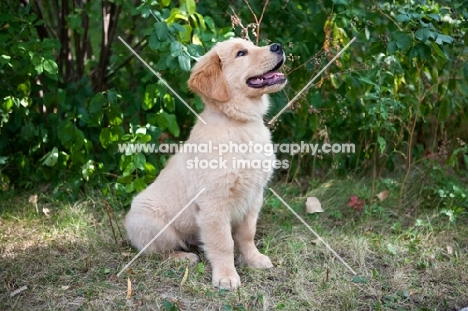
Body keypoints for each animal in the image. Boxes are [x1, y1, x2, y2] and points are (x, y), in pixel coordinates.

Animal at [124, 37, 286, 290]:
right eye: (241, 53)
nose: (278, 46)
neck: (238, 124)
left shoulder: (254, 195)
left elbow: (247, 233)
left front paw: (253, 259)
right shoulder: (214, 202)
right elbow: (223, 242)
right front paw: (226, 276)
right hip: (150, 223)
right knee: (156, 251)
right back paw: (182, 257)